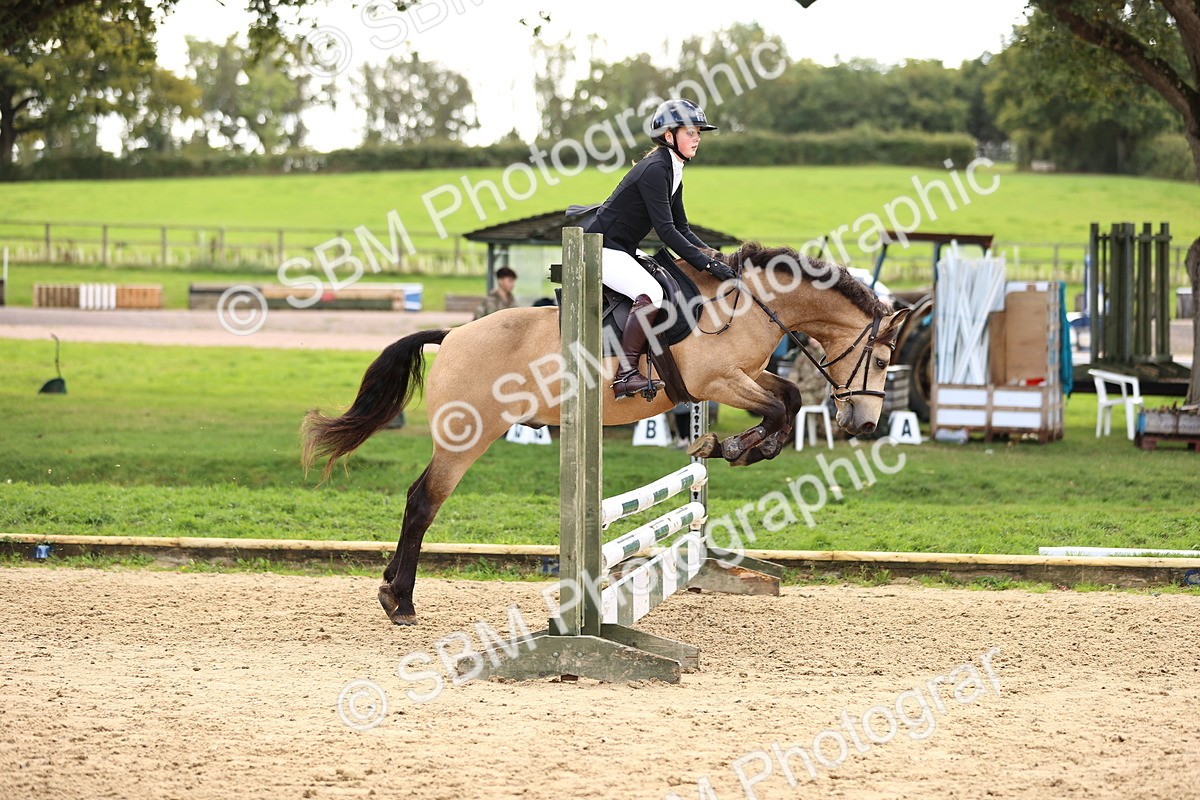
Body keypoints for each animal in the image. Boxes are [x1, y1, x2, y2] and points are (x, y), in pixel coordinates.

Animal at [301, 242, 910, 625]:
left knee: (415, 498)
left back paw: (389, 586)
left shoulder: (741, 378)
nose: (865, 424)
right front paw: (733, 446)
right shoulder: (717, 380)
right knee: (423, 501)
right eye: (881, 360)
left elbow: (786, 401)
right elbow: (779, 410)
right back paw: (400, 601)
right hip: (466, 439)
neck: (750, 306)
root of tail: (451, 335)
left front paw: (726, 446)